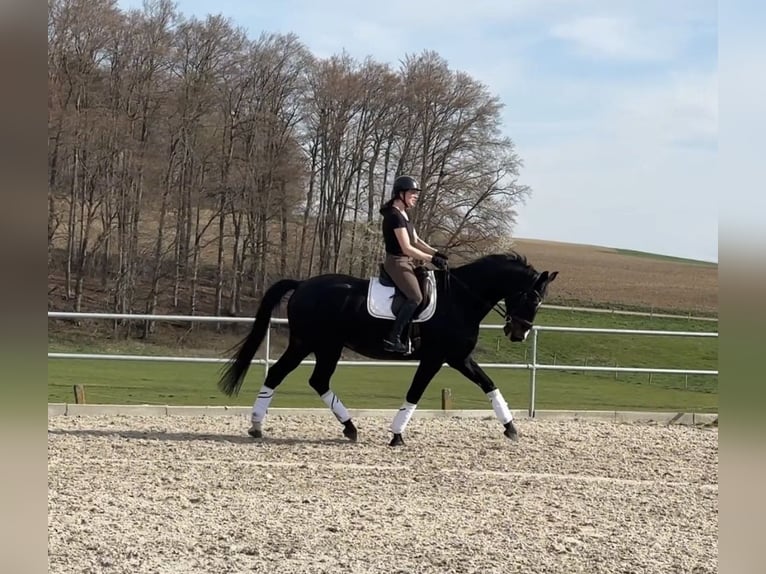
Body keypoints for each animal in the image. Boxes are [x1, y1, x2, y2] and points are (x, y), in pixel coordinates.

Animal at [218, 252, 558, 446]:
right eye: (532, 298)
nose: (518, 334)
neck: (461, 298)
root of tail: (302, 284)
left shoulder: (459, 357)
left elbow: (489, 385)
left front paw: (511, 428)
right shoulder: (438, 357)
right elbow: (415, 393)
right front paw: (396, 435)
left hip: (315, 345)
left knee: (296, 377)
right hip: (318, 344)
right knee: (300, 378)